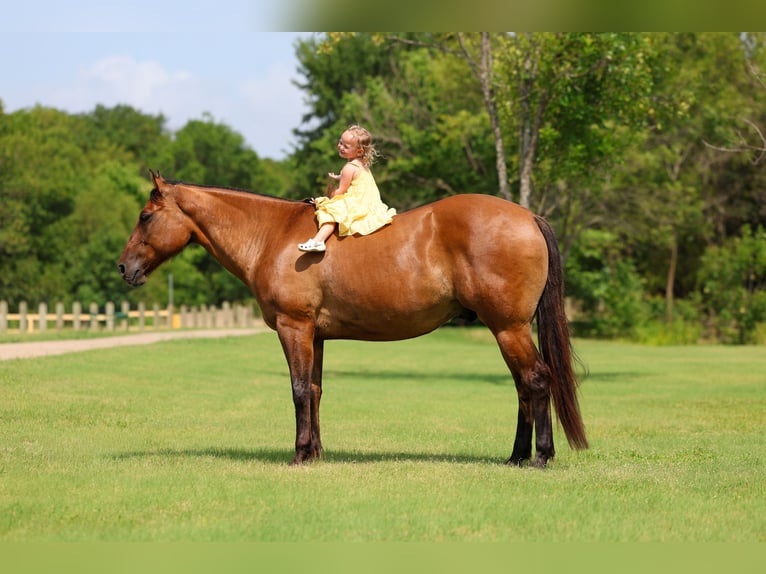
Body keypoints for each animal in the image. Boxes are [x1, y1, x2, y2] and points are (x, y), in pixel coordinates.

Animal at [118, 171, 588, 467]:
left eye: (145, 216)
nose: (123, 268)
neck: (272, 235)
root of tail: (528, 216)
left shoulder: (294, 328)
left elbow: (298, 391)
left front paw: (299, 454)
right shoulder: (316, 335)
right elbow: (315, 391)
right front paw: (316, 454)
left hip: (508, 328)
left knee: (535, 381)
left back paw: (539, 457)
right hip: (508, 330)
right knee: (524, 387)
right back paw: (516, 457)